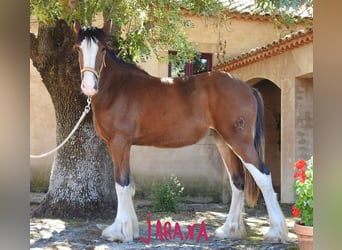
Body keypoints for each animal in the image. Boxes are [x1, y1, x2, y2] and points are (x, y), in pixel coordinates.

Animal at [73, 20, 288, 243]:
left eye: (102, 49)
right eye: (78, 48)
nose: (88, 86)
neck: (118, 88)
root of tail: (248, 88)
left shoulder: (119, 143)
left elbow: (121, 185)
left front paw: (119, 232)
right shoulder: (120, 145)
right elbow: (129, 185)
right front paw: (130, 228)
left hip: (240, 142)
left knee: (263, 176)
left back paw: (275, 232)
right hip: (223, 141)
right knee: (237, 181)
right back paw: (229, 230)